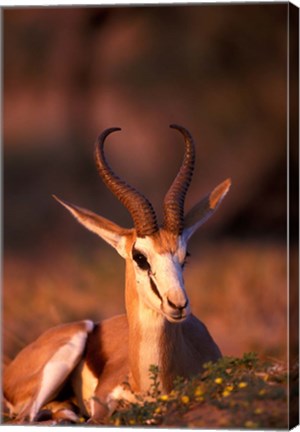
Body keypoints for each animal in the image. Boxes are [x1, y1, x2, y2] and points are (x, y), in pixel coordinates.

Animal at [3, 124, 231, 422]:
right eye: (140, 257)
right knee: (27, 417)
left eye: (186, 256)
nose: (178, 304)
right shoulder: (100, 409)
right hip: (70, 344)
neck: (150, 384)